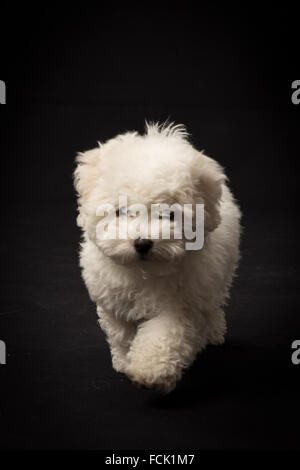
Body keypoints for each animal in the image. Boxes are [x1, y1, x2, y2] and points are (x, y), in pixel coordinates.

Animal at [75, 122, 241, 392]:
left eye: (169, 214)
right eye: (121, 210)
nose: (142, 243)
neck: (145, 271)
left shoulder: (181, 304)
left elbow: (165, 333)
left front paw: (149, 371)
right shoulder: (113, 300)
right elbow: (121, 332)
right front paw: (123, 359)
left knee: (212, 304)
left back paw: (213, 331)